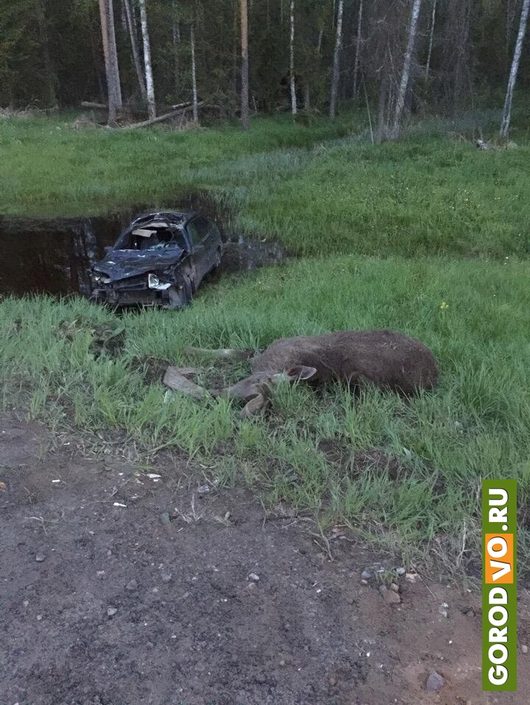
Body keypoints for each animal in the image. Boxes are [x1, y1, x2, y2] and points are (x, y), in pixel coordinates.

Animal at [163, 328, 436, 416]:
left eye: (270, 397)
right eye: (263, 381)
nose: (222, 395)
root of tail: (435, 373)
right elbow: (234, 351)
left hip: (363, 379)